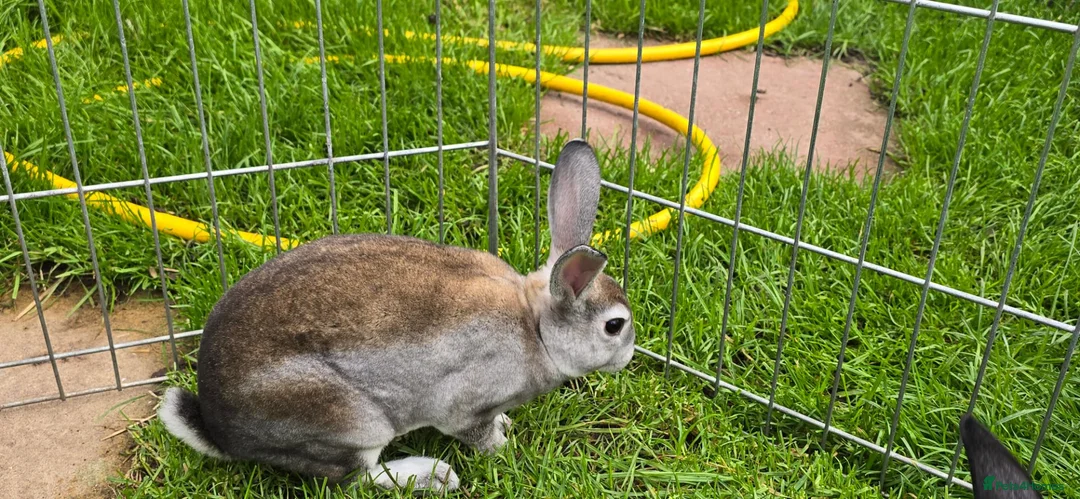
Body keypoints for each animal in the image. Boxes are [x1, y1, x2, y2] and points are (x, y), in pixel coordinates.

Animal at [157, 139, 636, 494]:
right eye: (614, 326)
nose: (629, 356)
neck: (534, 327)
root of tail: (221, 432)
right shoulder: (463, 407)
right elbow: (477, 434)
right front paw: (502, 447)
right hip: (350, 422)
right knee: (358, 478)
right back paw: (436, 476)